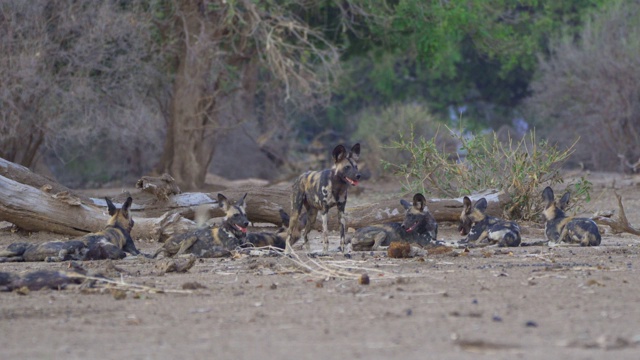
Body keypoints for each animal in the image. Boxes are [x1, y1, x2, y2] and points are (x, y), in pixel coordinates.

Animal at [0, 197, 140, 262]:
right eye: (132, 218)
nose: (134, 222)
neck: (116, 225)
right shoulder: (133, 249)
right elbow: (139, 253)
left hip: (16, 254)